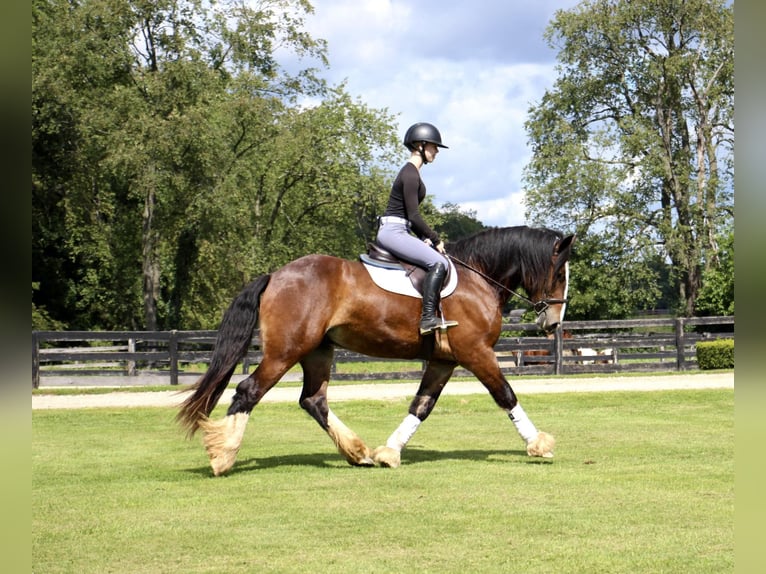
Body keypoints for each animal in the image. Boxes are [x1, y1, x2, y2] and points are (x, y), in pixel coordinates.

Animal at [180, 226, 576, 476]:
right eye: (559, 274)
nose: (553, 323)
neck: (477, 277)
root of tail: (276, 275)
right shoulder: (476, 352)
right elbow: (505, 395)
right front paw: (538, 444)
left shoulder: (444, 361)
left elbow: (421, 406)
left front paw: (389, 452)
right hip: (286, 351)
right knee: (249, 391)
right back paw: (222, 458)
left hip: (318, 351)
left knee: (314, 400)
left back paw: (358, 453)